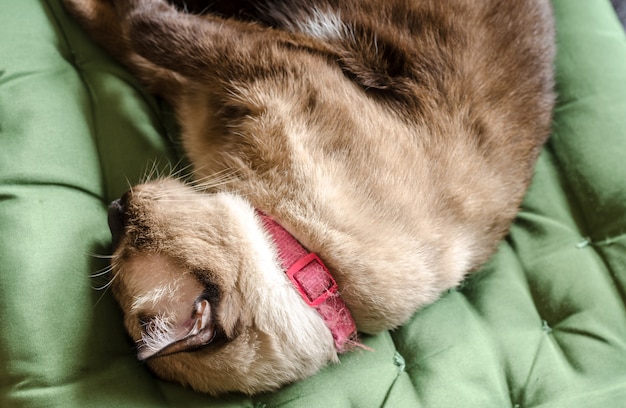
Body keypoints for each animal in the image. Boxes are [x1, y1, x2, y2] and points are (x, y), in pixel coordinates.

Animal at [62, 0, 552, 396]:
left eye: (128, 237)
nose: (115, 206)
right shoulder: (204, 89)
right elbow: (125, 41)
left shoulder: (253, 65)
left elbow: (139, 27)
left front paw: (73, 6)